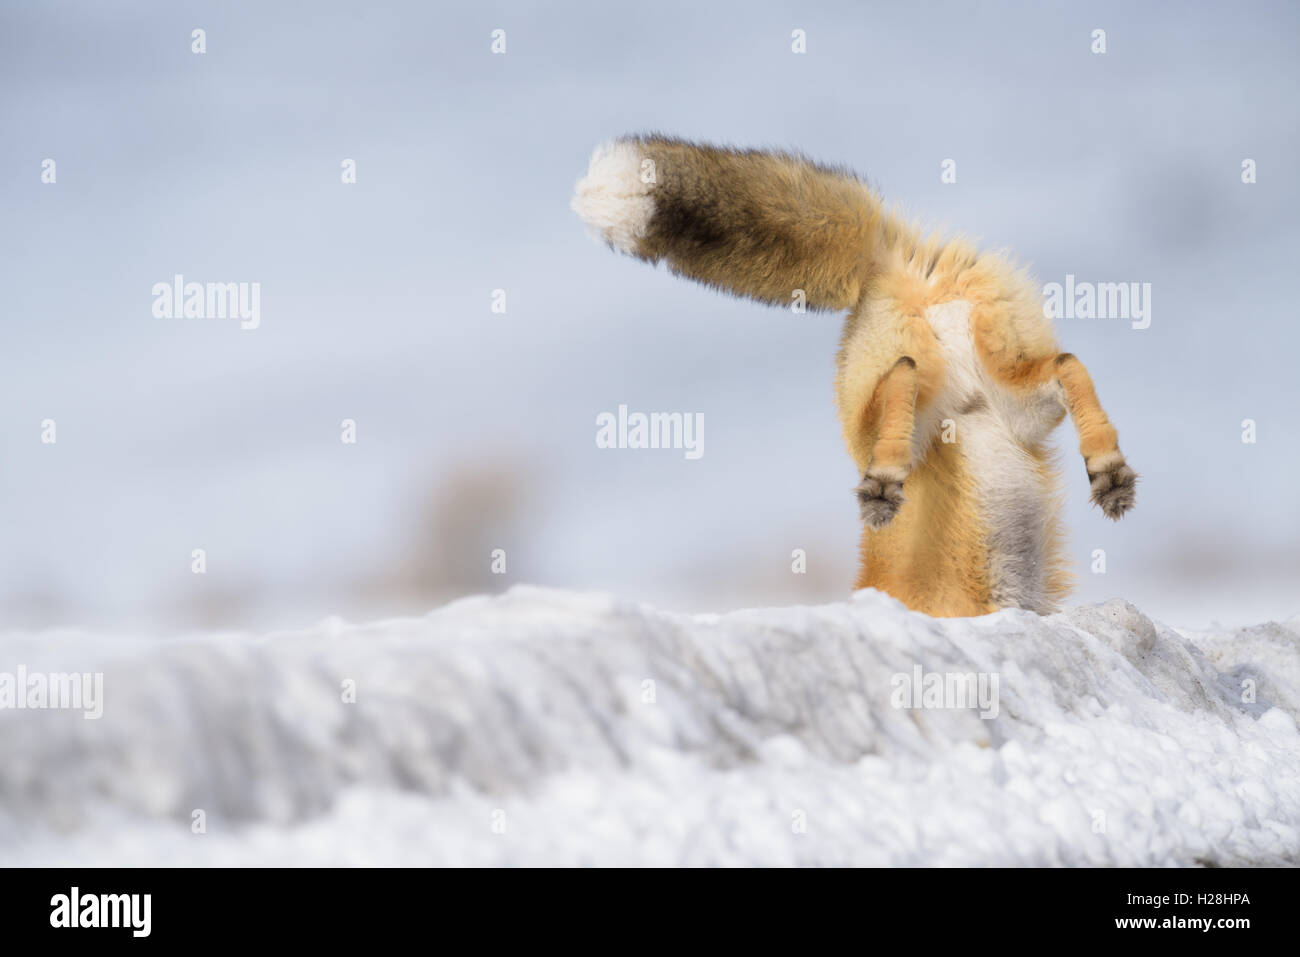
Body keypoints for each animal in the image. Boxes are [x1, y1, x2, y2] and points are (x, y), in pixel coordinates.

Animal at [571, 135, 1137, 617]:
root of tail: (885, 261)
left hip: (884, 414)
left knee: (902, 379)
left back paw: (883, 483)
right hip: (1011, 401)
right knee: (1065, 364)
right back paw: (1107, 468)